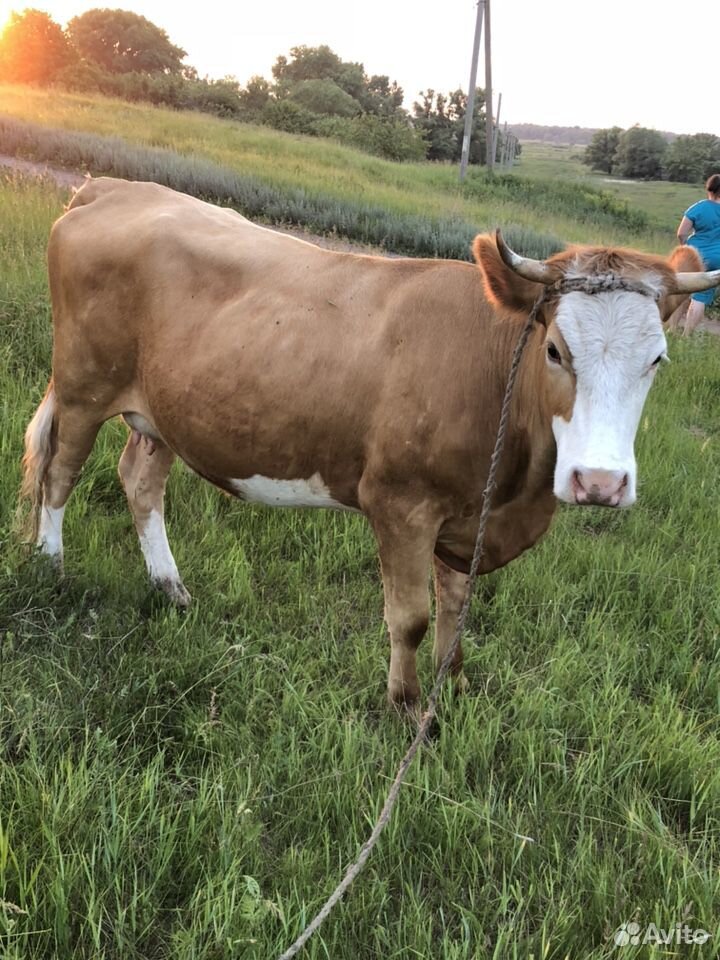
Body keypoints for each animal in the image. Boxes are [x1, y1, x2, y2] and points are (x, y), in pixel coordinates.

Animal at [21, 178, 720, 704]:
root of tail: (112, 187)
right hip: (84, 385)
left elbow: (455, 610)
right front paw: (407, 709)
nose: (599, 483)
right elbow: (409, 619)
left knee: (140, 481)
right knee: (60, 470)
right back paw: (50, 567)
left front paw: (450, 688)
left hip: (164, 409)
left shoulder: (468, 515)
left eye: (657, 359)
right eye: (554, 349)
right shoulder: (400, 503)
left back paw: (170, 587)